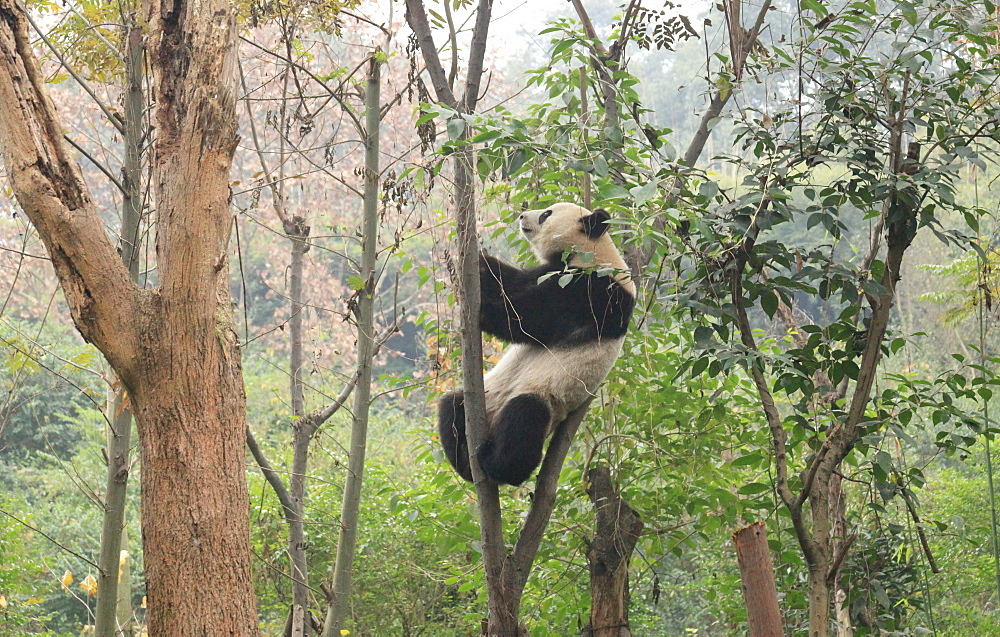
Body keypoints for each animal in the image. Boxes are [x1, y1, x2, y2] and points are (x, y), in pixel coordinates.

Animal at [436, 204, 632, 486]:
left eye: (546, 214)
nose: (521, 216)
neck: (594, 252)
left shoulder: (595, 292)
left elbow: (530, 319)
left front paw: (483, 312)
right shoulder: (547, 272)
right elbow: (512, 282)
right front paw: (479, 262)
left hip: (546, 396)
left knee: (525, 419)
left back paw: (495, 465)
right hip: (488, 395)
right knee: (451, 404)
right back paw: (464, 460)